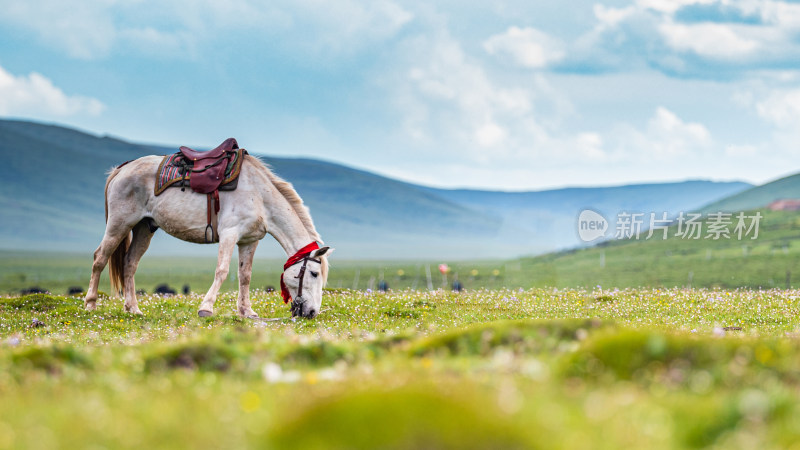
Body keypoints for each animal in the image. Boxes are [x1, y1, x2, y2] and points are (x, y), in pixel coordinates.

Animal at [86, 153, 334, 318]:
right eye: (314, 273)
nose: (312, 312)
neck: (259, 196)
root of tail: (121, 169)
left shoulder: (249, 240)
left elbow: (245, 275)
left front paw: (247, 311)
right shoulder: (229, 234)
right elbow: (222, 271)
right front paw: (206, 308)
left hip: (144, 228)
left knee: (129, 263)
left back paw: (133, 309)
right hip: (119, 224)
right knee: (99, 258)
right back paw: (90, 304)